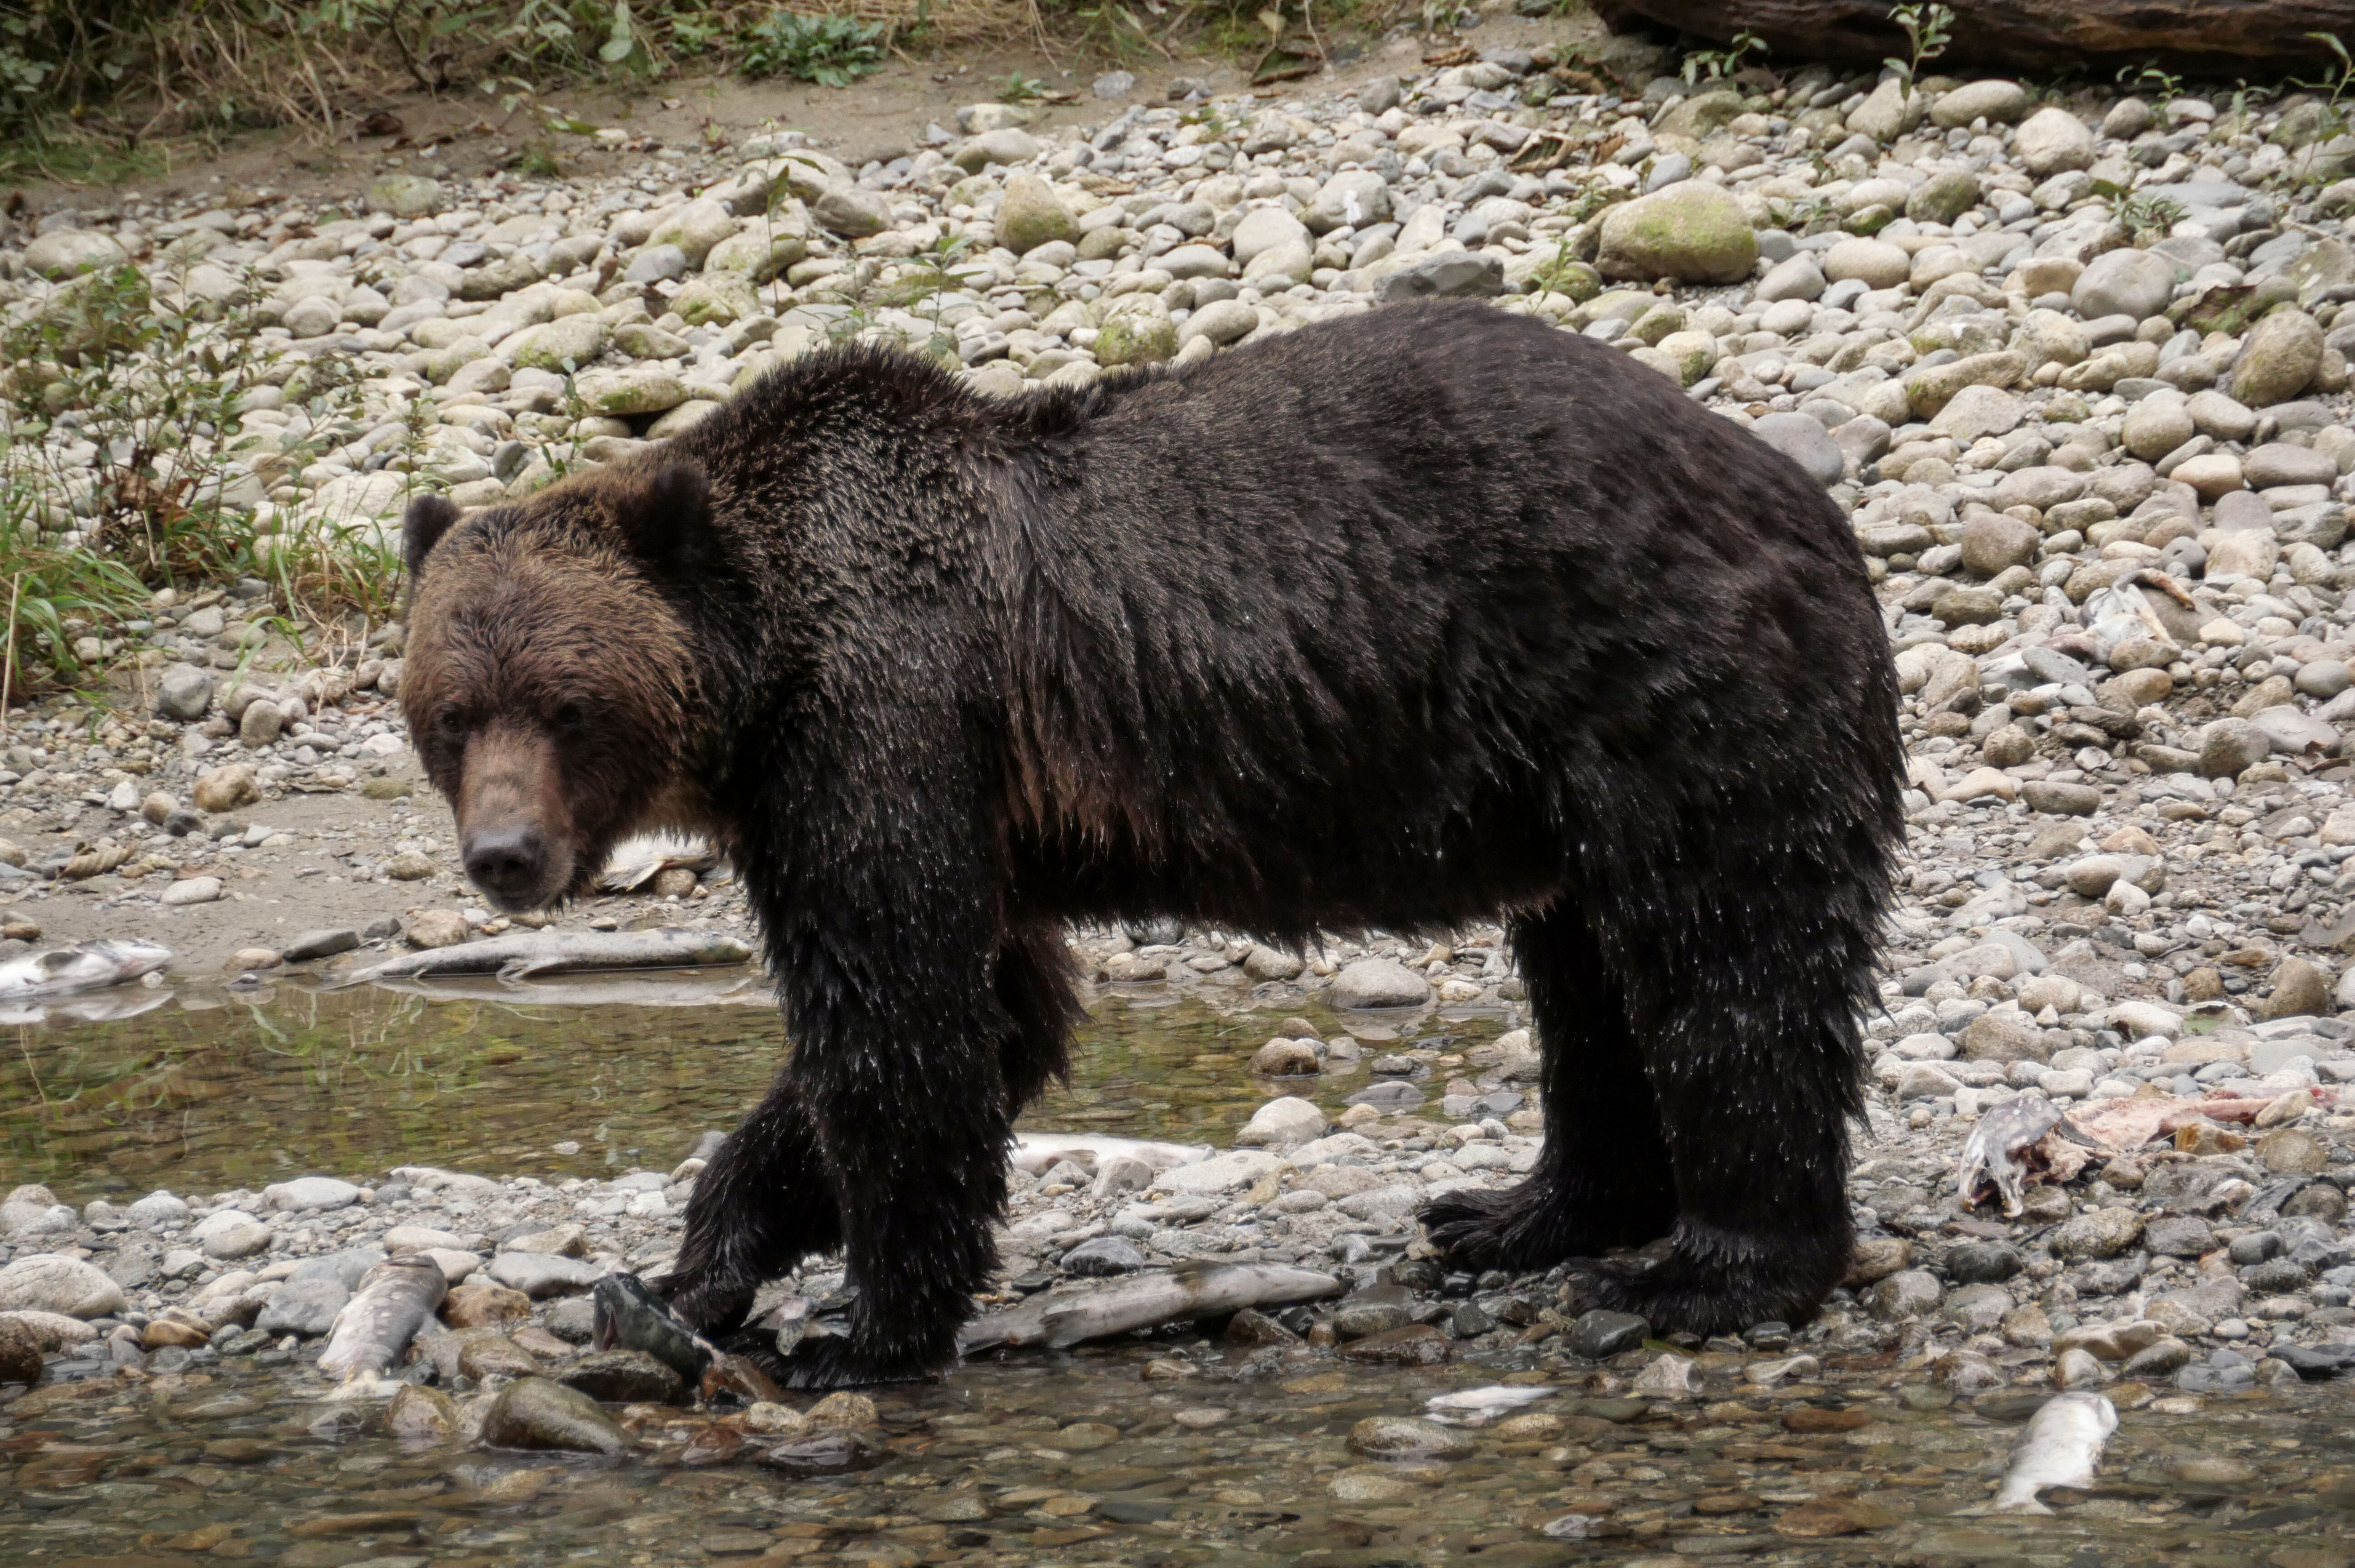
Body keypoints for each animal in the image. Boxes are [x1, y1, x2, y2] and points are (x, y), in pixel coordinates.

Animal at [398, 299, 1904, 1387]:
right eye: (450, 709)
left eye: (568, 702)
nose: (507, 854)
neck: (760, 671)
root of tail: (1806, 498)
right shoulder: (949, 800)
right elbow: (995, 1011)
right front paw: (695, 1263)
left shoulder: (880, 727)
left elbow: (894, 1027)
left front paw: (865, 1328)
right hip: (1567, 784)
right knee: (1588, 979)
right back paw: (1522, 1209)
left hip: (1663, 688)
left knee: (1728, 965)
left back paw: (1714, 1267)